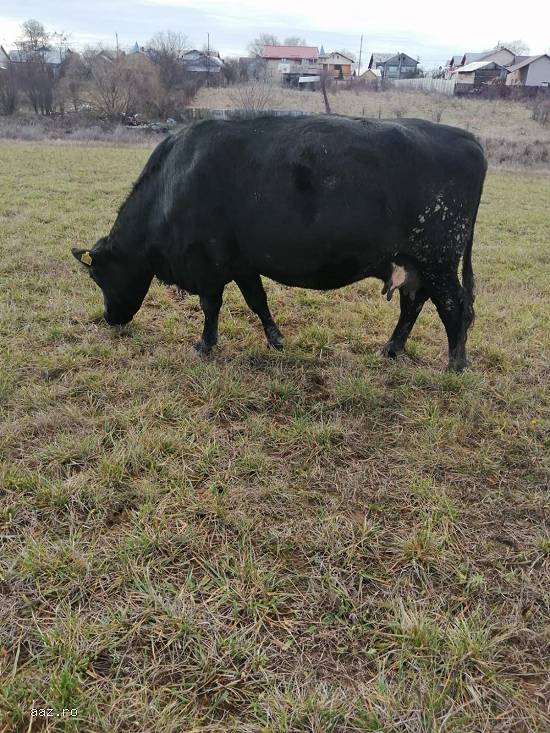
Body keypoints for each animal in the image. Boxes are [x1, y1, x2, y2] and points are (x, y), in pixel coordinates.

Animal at [72, 114, 487, 371]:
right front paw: (276, 339)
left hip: (439, 260)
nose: (110, 319)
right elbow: (258, 301)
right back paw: (391, 349)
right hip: (413, 262)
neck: (171, 185)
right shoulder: (241, 262)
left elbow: (211, 306)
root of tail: (468, 139)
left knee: (455, 307)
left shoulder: (208, 264)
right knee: (413, 304)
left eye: (98, 278)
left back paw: (455, 364)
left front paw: (205, 345)